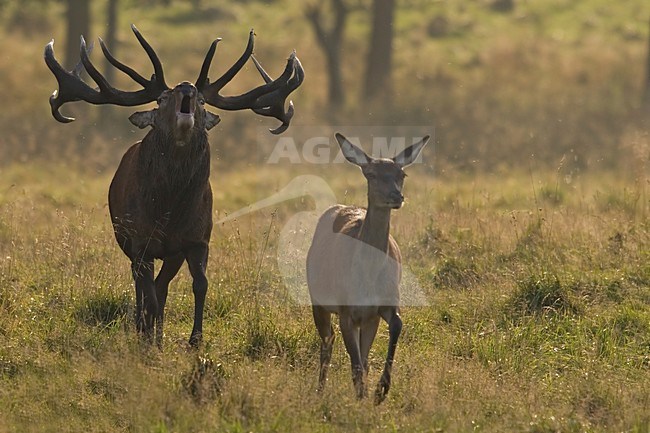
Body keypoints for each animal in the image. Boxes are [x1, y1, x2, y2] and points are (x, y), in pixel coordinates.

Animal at [45, 26, 304, 344]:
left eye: (203, 101)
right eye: (162, 99)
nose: (186, 87)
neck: (169, 212)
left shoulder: (197, 239)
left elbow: (200, 285)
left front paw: (194, 339)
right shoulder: (140, 242)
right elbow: (149, 296)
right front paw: (149, 337)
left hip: (171, 254)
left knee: (161, 286)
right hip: (129, 244)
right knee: (144, 288)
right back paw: (145, 331)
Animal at [306, 131, 428, 402]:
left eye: (401, 174)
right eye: (371, 174)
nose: (396, 196)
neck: (369, 276)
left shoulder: (384, 304)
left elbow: (394, 328)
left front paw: (381, 389)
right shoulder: (345, 309)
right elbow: (355, 363)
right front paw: (363, 396)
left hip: (366, 320)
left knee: (356, 353)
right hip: (317, 299)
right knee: (327, 342)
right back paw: (319, 391)